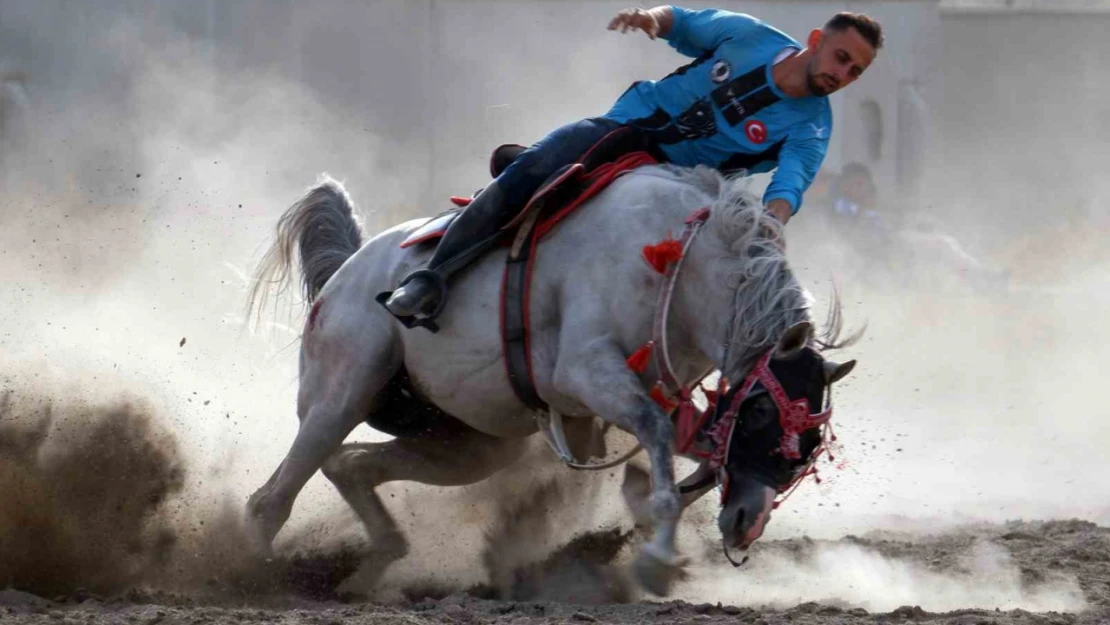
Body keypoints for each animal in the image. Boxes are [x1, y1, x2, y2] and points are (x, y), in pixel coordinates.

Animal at [245, 165, 856, 595]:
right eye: (761, 413)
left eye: (809, 445)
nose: (747, 522)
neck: (680, 266)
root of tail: (348, 272)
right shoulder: (587, 372)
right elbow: (658, 439)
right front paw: (657, 560)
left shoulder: (664, 399)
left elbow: (691, 454)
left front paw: (642, 511)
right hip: (339, 394)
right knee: (271, 499)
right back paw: (248, 573)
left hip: (468, 444)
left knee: (350, 465)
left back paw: (368, 572)